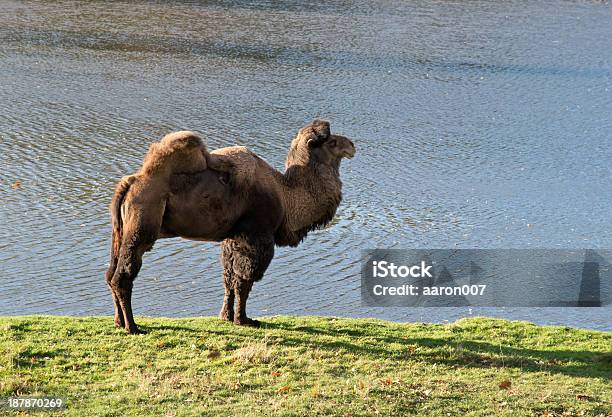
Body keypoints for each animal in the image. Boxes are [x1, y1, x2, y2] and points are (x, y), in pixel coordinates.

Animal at [105, 118, 354, 334]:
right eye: (332, 142)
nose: (352, 145)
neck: (285, 195)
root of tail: (130, 183)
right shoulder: (256, 236)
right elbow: (244, 279)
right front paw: (243, 320)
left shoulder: (233, 237)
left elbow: (229, 278)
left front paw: (226, 317)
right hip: (142, 227)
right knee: (122, 277)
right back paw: (133, 327)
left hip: (120, 232)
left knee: (110, 274)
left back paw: (119, 322)